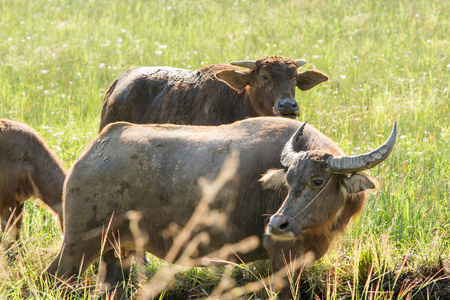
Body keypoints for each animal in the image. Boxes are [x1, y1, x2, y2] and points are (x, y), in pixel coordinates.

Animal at [41, 117, 394, 298]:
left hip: (116, 250)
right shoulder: (283, 259)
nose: (277, 224)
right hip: (78, 244)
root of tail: (95, 151)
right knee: (52, 278)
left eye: (318, 180)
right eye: (290, 179)